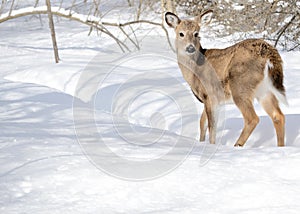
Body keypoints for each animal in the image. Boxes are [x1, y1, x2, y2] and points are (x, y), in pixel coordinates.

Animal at [165, 10, 288, 147]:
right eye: (181, 33)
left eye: (196, 33)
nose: (190, 47)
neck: (194, 72)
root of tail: (268, 53)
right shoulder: (212, 99)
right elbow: (202, 122)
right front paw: (201, 142)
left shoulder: (210, 95)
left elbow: (211, 127)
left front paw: (211, 145)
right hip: (264, 90)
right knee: (278, 116)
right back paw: (280, 147)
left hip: (240, 86)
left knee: (252, 118)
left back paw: (237, 146)